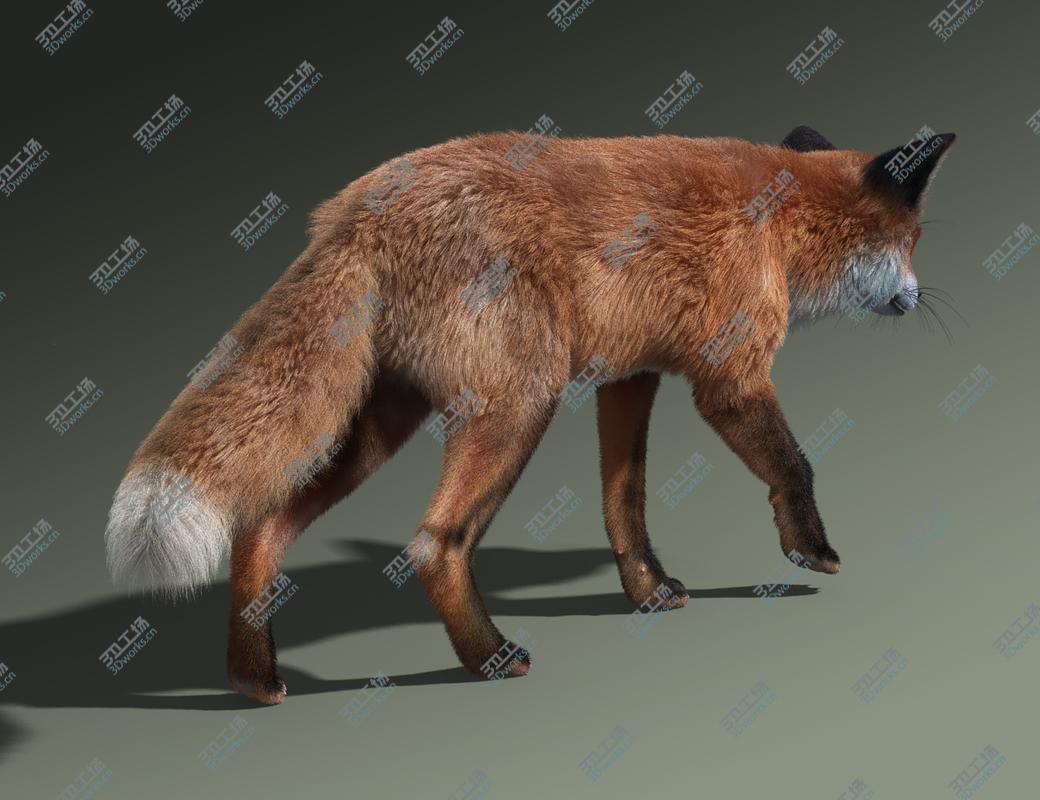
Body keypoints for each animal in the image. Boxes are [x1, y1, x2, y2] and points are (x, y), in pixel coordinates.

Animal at [105, 125, 955, 704]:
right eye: (913, 240)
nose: (919, 298)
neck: (781, 220)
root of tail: (352, 210)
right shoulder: (730, 377)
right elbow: (793, 464)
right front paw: (810, 549)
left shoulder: (630, 377)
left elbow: (624, 503)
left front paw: (647, 591)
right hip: (520, 403)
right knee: (432, 542)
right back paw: (486, 657)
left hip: (379, 426)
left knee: (261, 529)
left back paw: (253, 678)